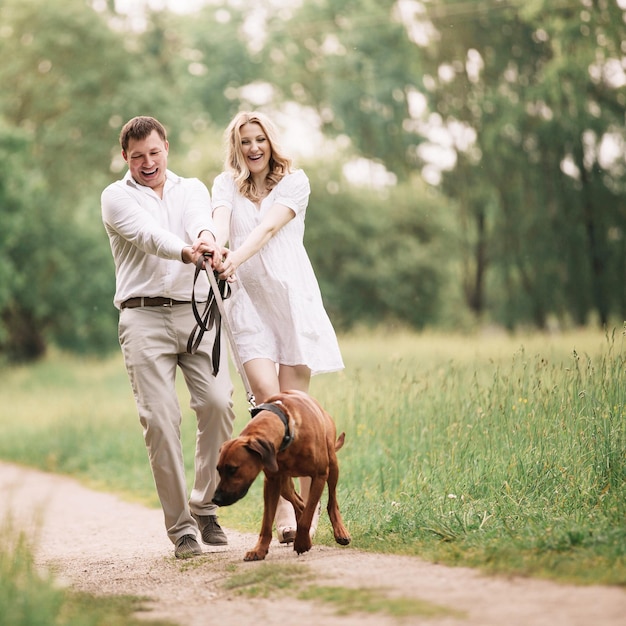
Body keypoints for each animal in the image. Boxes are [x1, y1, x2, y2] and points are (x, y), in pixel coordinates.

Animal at [213, 388, 352, 560]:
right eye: (218, 469)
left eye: (233, 469)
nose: (216, 499)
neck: (287, 431)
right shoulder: (271, 481)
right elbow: (267, 523)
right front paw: (259, 549)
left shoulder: (319, 475)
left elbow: (308, 516)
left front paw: (302, 543)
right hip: (284, 485)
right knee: (300, 504)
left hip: (332, 465)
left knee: (331, 502)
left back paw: (339, 532)